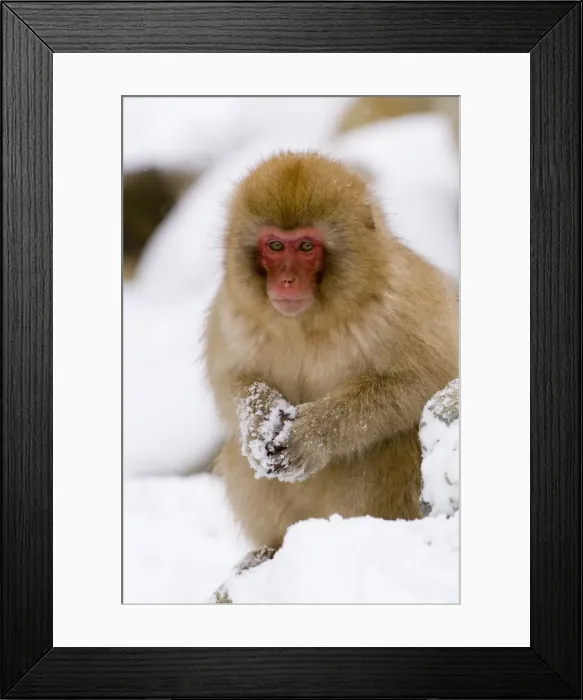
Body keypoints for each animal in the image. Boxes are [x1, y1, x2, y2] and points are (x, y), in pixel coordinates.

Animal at [204, 151, 458, 552]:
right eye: (276, 246)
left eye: (307, 247)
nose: (286, 282)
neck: (308, 322)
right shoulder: (233, 312)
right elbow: (232, 378)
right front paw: (259, 419)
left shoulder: (400, 299)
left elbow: (424, 380)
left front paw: (310, 436)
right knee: (238, 449)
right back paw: (272, 547)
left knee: (396, 439)